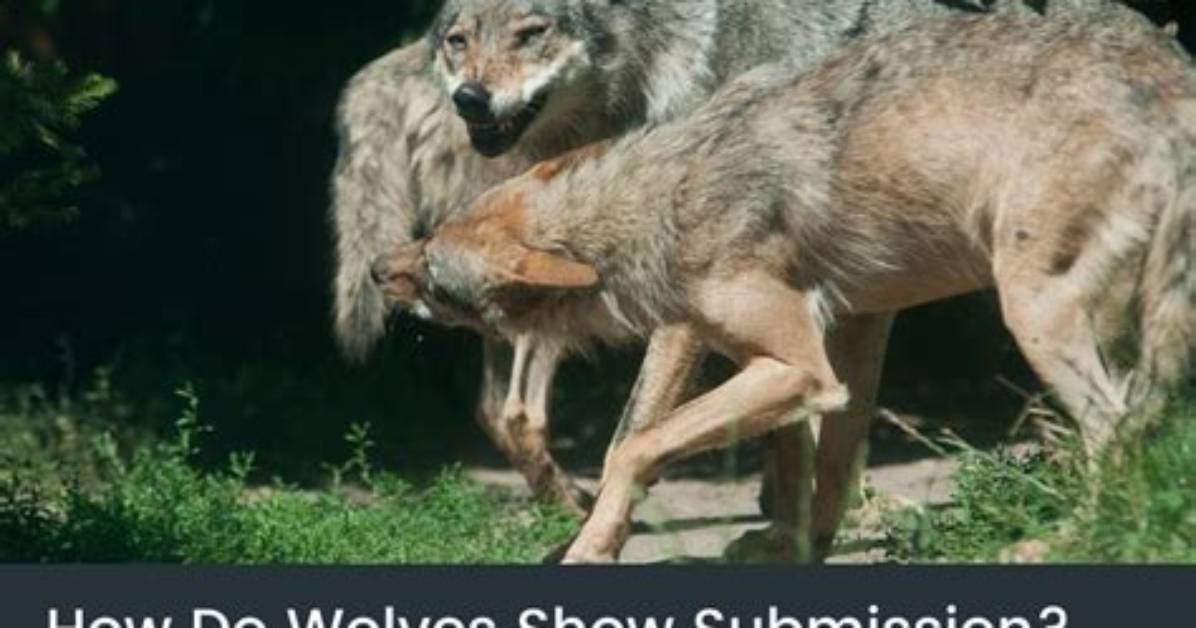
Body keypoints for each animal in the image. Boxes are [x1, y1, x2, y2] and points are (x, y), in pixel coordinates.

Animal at [376, 8, 1196, 562]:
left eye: (437, 278)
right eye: (428, 239)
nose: (382, 267)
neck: (666, 198)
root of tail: (1169, 74)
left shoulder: (797, 366)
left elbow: (633, 445)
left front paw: (588, 549)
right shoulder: (830, 354)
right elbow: (818, 465)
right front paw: (798, 550)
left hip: (1034, 316)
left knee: (1116, 430)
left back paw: (1063, 541)